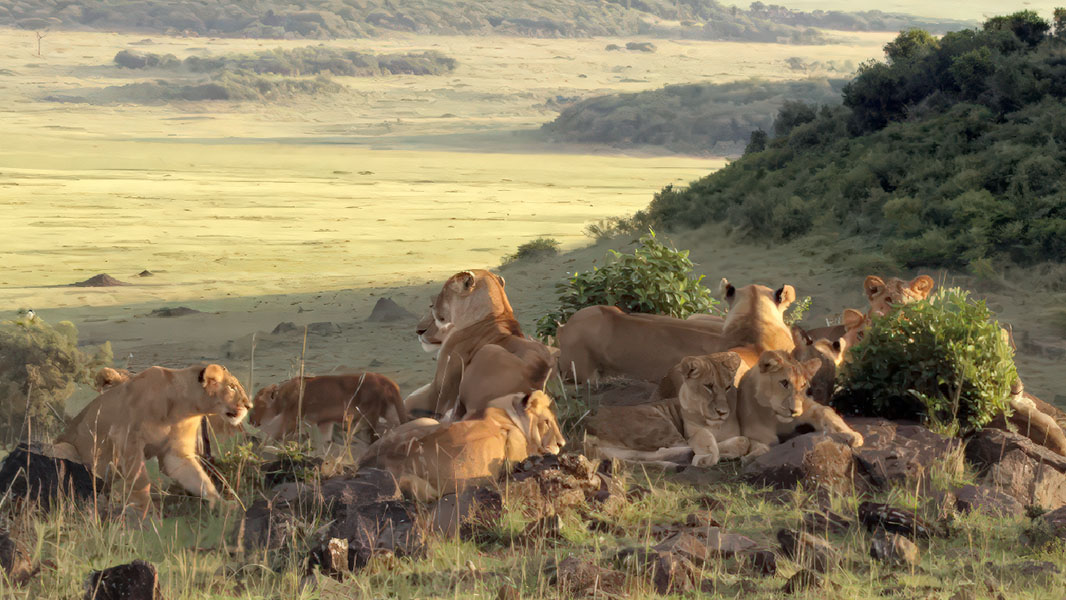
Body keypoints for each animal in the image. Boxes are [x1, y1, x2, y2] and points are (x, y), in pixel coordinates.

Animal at [52, 364, 250, 518]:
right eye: (232, 387)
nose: (249, 405)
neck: (184, 409)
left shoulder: (175, 455)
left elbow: (200, 481)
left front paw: (223, 505)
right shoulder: (126, 438)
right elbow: (140, 481)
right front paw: (146, 513)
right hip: (63, 447)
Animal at [249, 372, 407, 441]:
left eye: (257, 405)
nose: (250, 421)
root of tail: (386, 380)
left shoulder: (292, 422)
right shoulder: (324, 423)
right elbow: (325, 441)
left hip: (368, 414)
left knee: (371, 431)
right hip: (387, 410)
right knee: (399, 424)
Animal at [584, 352, 744, 467]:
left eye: (728, 387)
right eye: (708, 386)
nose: (722, 412)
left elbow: (742, 441)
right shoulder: (689, 433)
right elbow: (705, 437)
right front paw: (708, 456)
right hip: (661, 424)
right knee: (683, 447)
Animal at [720, 350, 863, 459]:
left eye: (803, 385)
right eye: (784, 383)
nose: (794, 411)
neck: (776, 419)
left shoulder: (808, 406)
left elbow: (826, 412)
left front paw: (852, 435)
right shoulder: (753, 430)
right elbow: (764, 441)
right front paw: (752, 454)